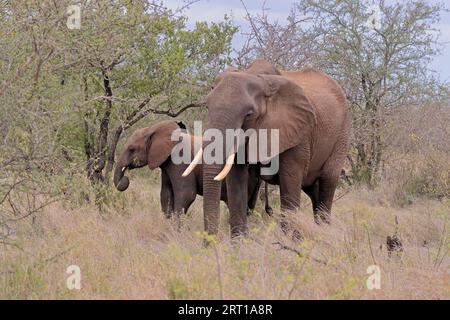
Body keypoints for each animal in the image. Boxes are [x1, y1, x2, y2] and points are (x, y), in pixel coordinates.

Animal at [113, 120, 270, 218]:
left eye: (131, 149)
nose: (125, 179)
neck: (155, 129)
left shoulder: (181, 161)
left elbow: (186, 195)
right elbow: (166, 195)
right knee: (250, 205)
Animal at [182, 60, 348, 239]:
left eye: (249, 114)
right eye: (207, 107)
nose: (209, 242)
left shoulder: (297, 134)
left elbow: (290, 182)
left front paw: (288, 243)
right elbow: (236, 182)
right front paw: (240, 245)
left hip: (341, 135)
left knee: (327, 184)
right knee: (314, 191)